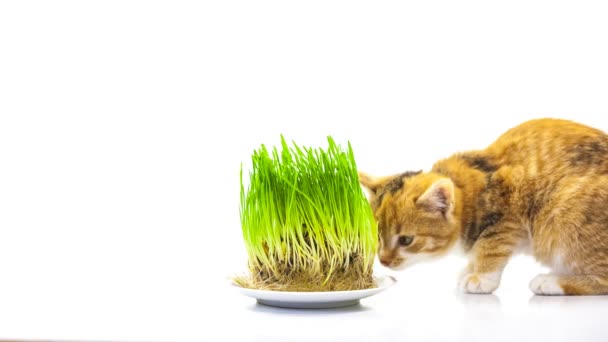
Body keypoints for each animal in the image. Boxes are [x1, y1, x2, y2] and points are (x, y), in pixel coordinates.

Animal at [358, 119, 608, 296]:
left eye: (406, 240)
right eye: (377, 236)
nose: (384, 261)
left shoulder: (508, 216)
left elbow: (490, 247)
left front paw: (482, 278)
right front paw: (471, 268)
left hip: (562, 216)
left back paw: (551, 281)